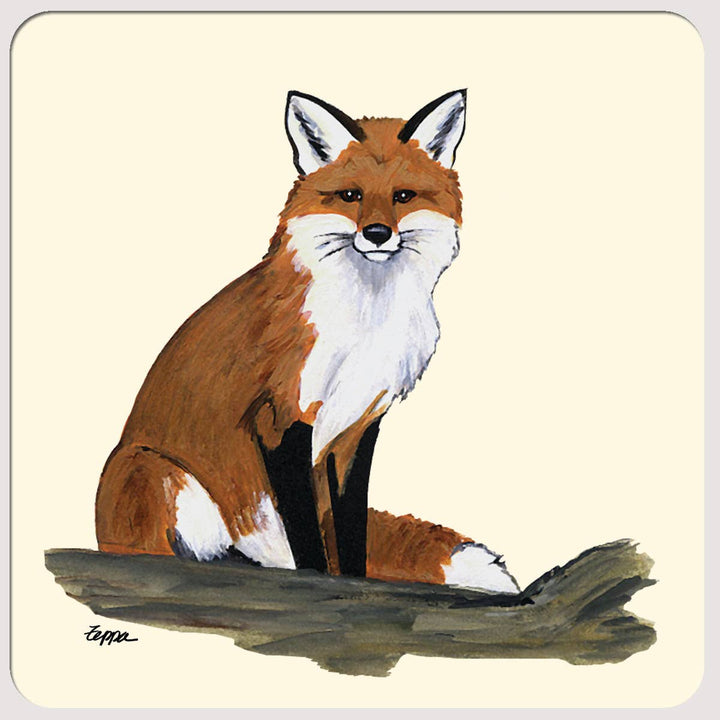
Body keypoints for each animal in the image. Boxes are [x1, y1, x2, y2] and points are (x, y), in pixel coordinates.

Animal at [95, 90, 519, 594]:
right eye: (351, 196)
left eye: (402, 196)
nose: (377, 234)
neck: (365, 320)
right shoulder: (282, 418)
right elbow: (306, 534)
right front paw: (317, 580)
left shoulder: (357, 428)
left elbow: (349, 528)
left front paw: (353, 583)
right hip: (154, 471)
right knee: (162, 553)